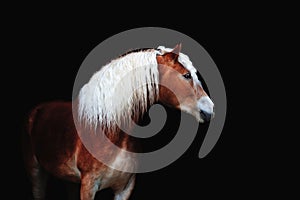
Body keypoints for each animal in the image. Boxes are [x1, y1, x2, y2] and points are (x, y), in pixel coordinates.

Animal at [22, 44, 214, 200]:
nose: (209, 110)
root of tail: (38, 109)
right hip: (36, 172)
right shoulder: (88, 186)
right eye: (186, 75)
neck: (111, 131)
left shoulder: (125, 188)